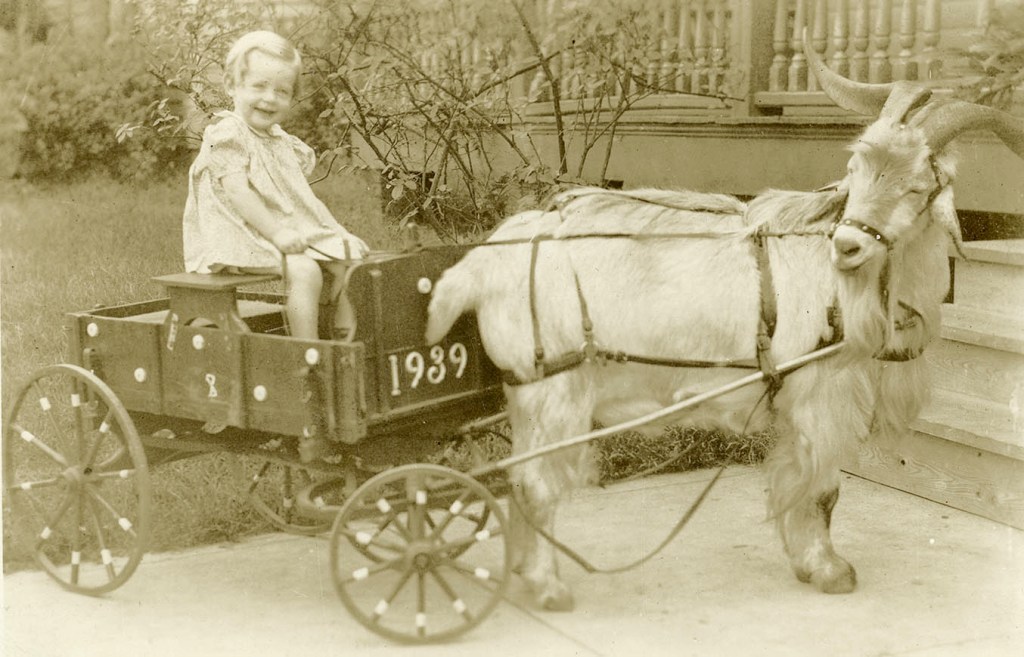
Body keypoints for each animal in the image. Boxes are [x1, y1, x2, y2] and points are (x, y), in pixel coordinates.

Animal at [423, 40, 1024, 605]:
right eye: (854, 173)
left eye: (918, 187)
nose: (848, 245)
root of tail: (483, 260)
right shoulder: (823, 394)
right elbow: (823, 491)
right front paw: (831, 571)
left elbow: (794, 480)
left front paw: (805, 562)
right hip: (556, 391)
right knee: (536, 485)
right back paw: (549, 585)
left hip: (529, 396)